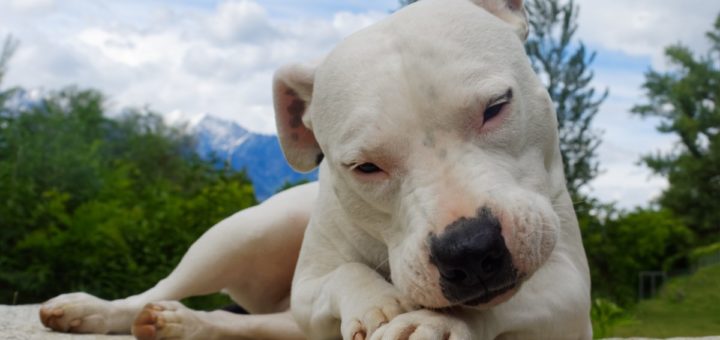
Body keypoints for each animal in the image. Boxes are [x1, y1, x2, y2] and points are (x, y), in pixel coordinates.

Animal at [38, 0, 592, 338]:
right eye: (364, 167)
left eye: (496, 107)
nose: (470, 249)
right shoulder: (308, 289)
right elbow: (343, 273)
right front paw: (379, 303)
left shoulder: (569, 288)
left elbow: (509, 299)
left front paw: (436, 323)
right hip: (244, 231)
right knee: (162, 289)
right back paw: (95, 310)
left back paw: (187, 325)